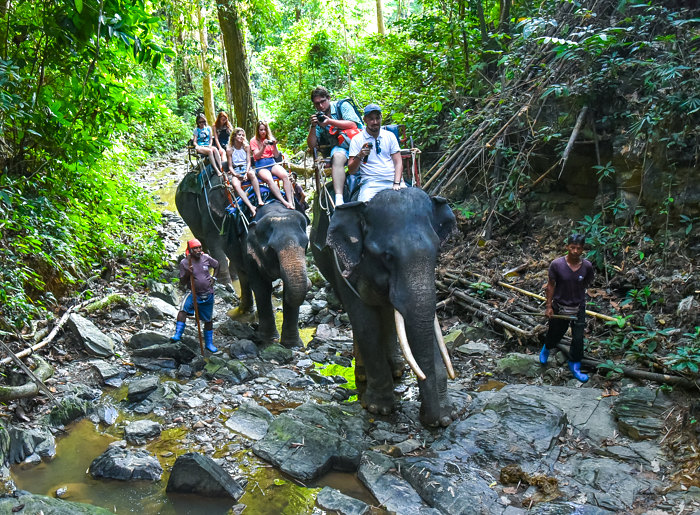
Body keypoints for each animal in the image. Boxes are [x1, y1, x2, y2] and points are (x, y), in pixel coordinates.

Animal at [175, 171, 308, 348]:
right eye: (270, 250)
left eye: (306, 244)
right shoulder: (243, 241)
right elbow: (261, 287)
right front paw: (269, 340)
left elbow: (289, 290)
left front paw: (293, 345)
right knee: (240, 272)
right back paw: (243, 308)